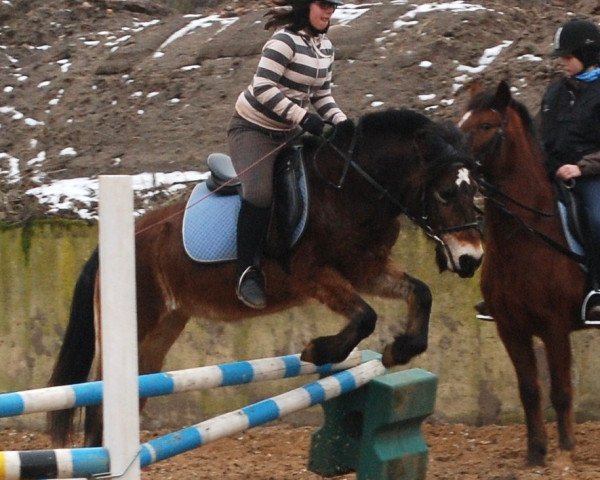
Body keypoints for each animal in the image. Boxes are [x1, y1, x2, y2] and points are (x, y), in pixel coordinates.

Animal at [50, 108, 482, 446]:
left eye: (475, 190)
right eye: (445, 192)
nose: (472, 259)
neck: (350, 189)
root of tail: (120, 239)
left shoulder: (365, 269)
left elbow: (420, 293)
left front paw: (400, 350)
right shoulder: (312, 274)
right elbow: (364, 317)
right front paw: (319, 351)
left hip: (160, 332)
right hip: (132, 325)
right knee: (99, 407)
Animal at [458, 80, 596, 466]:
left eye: (486, 125)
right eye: (459, 122)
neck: (526, 235)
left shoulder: (555, 327)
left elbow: (561, 390)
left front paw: (565, 451)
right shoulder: (510, 328)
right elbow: (529, 390)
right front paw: (536, 452)